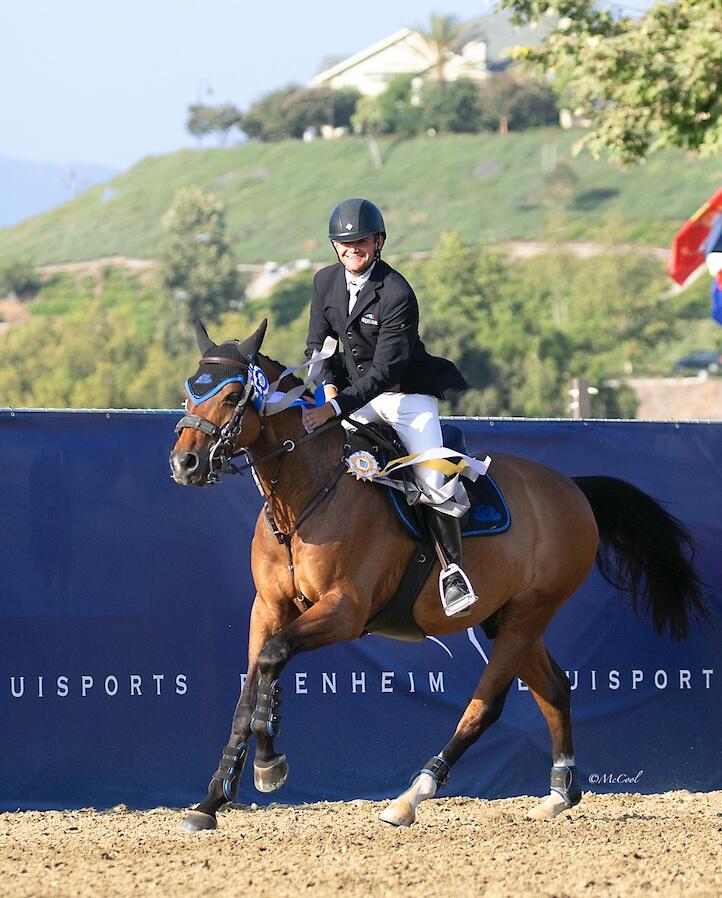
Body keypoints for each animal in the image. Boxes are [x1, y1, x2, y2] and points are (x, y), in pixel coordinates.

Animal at [167, 318, 704, 828]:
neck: (304, 496)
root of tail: (571, 488)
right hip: (506, 618)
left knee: (487, 705)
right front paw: (212, 799)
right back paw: (558, 795)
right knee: (554, 688)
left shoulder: (345, 610)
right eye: (190, 391)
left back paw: (412, 797)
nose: (184, 464)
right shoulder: (269, 607)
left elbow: (272, 659)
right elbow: (251, 685)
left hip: (530, 613)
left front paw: (268, 762)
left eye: (232, 396)